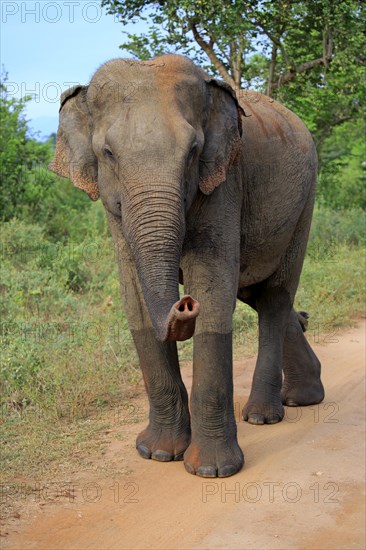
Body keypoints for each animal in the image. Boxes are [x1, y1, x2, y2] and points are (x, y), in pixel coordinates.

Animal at [50, 55, 324, 478]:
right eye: (108, 153)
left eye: (194, 150)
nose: (184, 304)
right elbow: (135, 297)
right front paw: (158, 454)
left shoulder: (226, 179)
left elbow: (213, 289)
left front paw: (212, 470)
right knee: (256, 294)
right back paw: (303, 396)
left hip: (304, 202)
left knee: (275, 298)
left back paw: (263, 416)